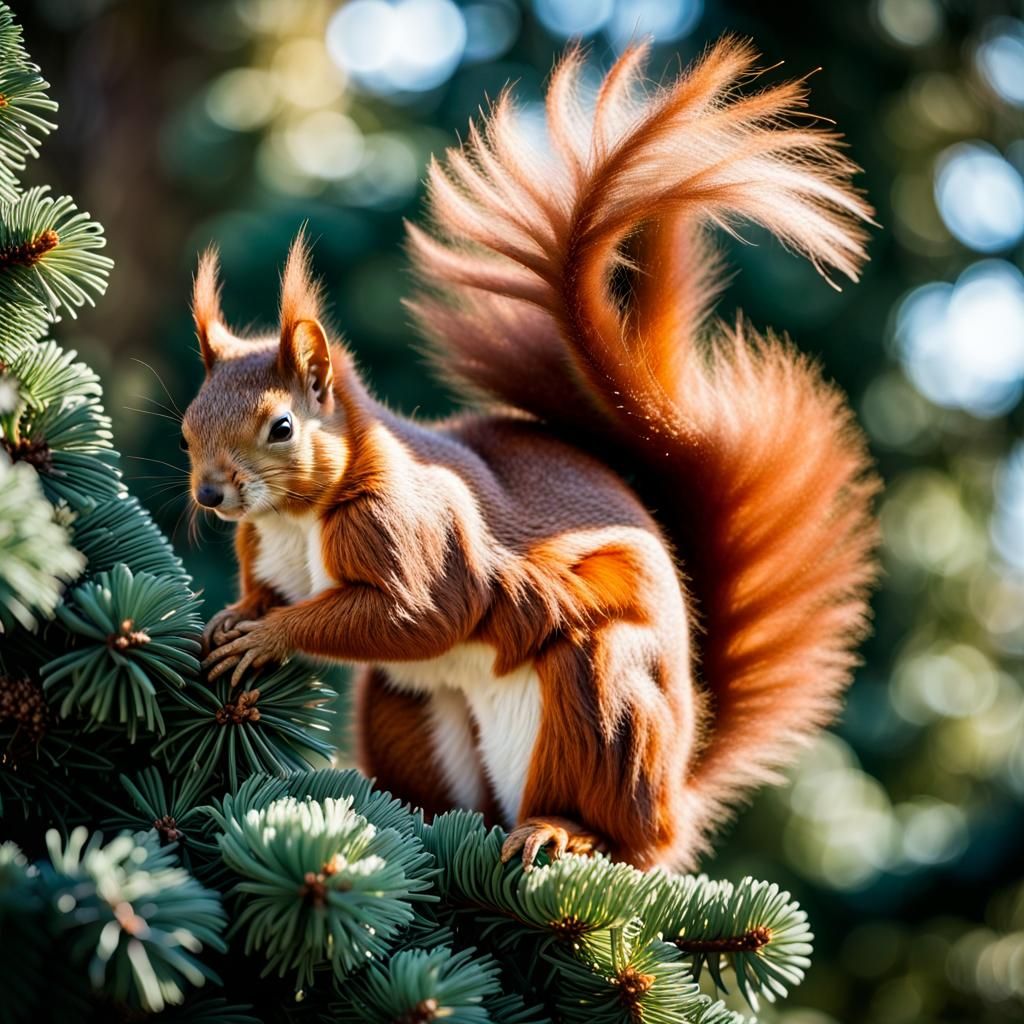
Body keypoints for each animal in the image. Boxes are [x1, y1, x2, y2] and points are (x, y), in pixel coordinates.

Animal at [186, 38, 879, 872]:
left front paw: (270, 635)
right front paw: (233, 618)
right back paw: (405, 825)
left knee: (620, 835)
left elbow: (417, 616)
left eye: (281, 427)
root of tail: (677, 798)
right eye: (189, 421)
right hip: (405, 707)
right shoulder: (269, 553)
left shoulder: (417, 536)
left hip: (602, 695)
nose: (209, 496)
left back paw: (564, 831)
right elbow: (272, 594)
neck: (295, 517)